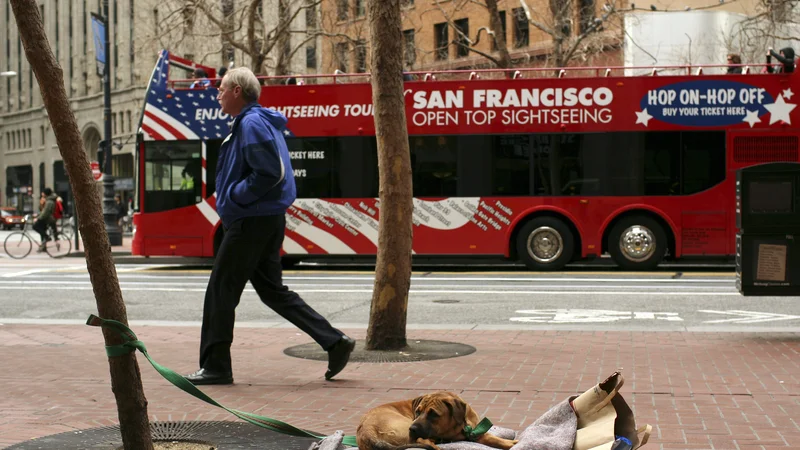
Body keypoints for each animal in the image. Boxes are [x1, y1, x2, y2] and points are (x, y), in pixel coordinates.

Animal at [356, 390, 520, 450]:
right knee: (423, 441)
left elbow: (493, 438)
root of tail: (366, 430)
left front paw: (510, 443)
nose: (412, 429)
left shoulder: (476, 432)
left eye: (433, 414)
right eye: (417, 411)